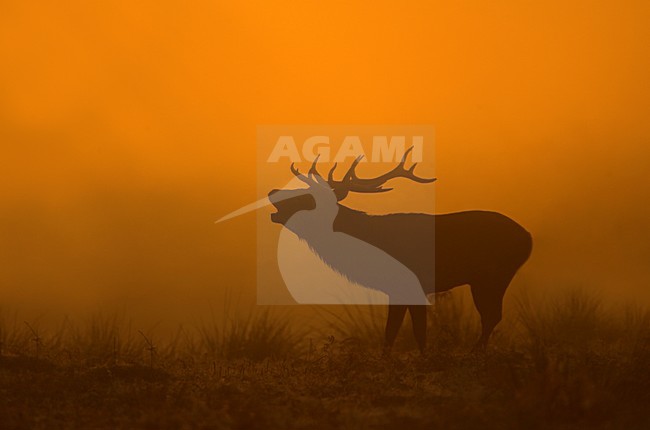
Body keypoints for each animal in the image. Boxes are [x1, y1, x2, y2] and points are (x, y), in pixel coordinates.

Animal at [267, 147, 533, 353]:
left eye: (305, 198)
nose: (272, 191)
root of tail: (528, 239)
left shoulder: (409, 282)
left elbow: (408, 330)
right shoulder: (398, 288)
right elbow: (395, 331)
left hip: (493, 275)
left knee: (491, 316)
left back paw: (475, 353)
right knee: (491, 316)